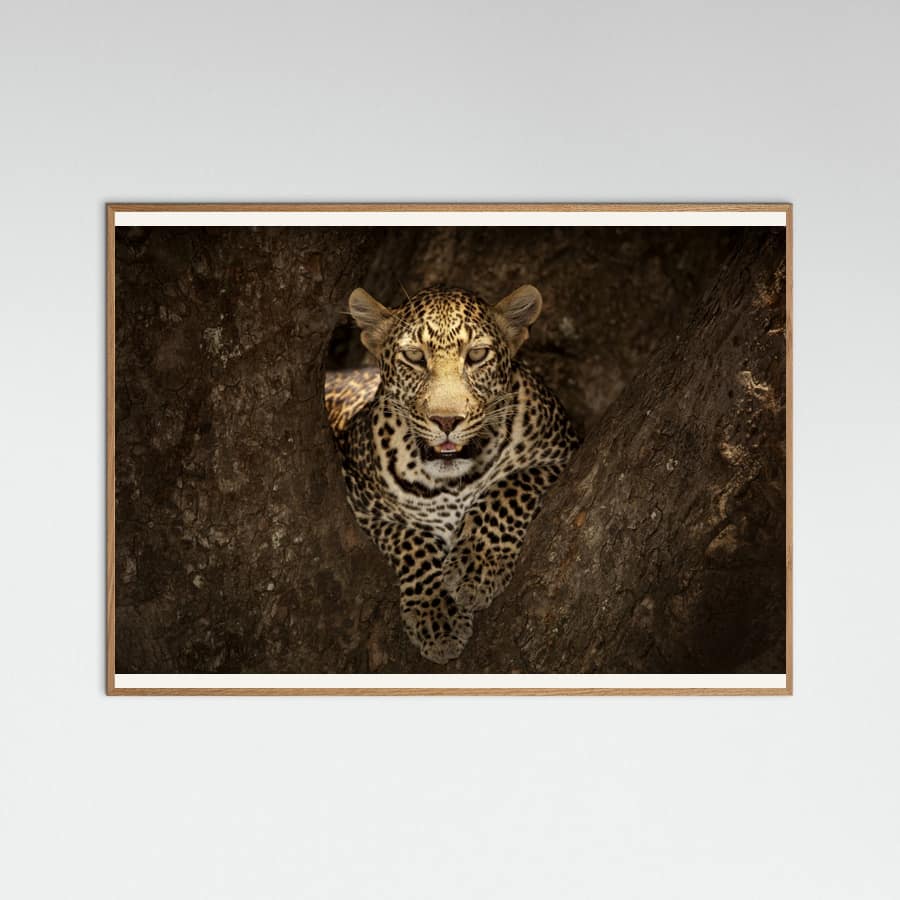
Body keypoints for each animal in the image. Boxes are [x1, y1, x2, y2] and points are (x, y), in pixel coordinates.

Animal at [325, 284, 579, 664]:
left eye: (477, 355)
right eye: (414, 356)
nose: (446, 421)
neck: (451, 483)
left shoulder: (562, 452)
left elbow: (507, 488)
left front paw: (476, 567)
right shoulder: (361, 502)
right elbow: (411, 540)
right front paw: (437, 616)